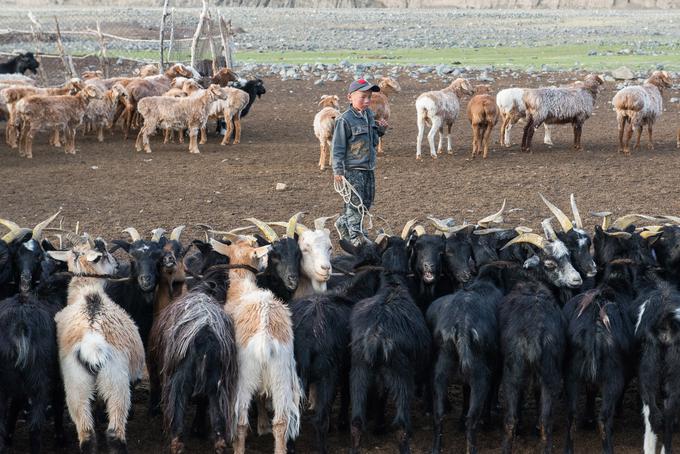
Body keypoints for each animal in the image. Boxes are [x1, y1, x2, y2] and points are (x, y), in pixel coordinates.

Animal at [47, 236, 145, 452]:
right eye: (106, 254)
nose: (117, 265)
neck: (88, 292)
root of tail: (92, 342)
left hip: (75, 383)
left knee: (86, 433)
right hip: (116, 382)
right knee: (114, 432)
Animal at [147, 266, 238, 454]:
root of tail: (205, 334)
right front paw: (199, 429)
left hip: (179, 380)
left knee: (177, 414)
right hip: (217, 384)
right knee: (217, 419)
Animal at [210, 236, 300, 454]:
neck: (242, 287)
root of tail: (265, 337)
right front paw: (264, 425)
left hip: (245, 376)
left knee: (241, 421)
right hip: (280, 375)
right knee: (281, 421)